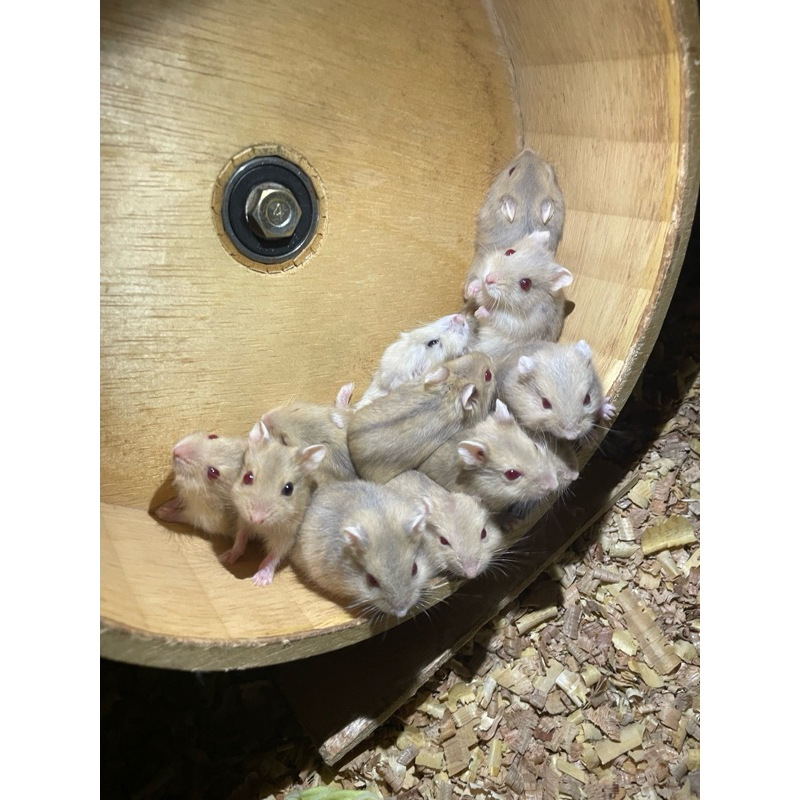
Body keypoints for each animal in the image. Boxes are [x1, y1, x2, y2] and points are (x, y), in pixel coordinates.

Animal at [225, 421, 327, 586]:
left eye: (289, 489)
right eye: (247, 477)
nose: (256, 518)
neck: (263, 527)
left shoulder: (286, 535)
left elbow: (274, 555)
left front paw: (259, 581)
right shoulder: (243, 520)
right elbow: (240, 539)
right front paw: (226, 558)